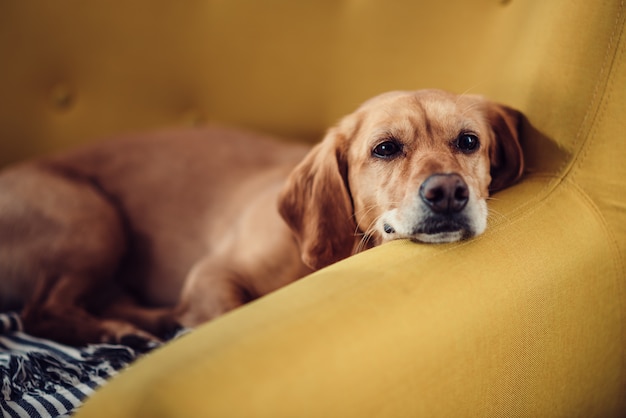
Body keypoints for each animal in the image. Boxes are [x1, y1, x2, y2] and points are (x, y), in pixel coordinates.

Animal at [0, 90, 520, 344]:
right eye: (386, 149)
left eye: (469, 141)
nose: (448, 192)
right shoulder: (212, 274)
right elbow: (231, 312)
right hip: (91, 218)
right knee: (38, 313)